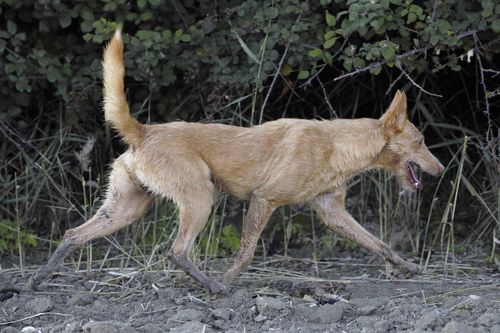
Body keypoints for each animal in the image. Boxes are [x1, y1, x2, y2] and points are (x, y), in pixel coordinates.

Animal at [29, 29, 444, 292]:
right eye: (421, 142)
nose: (442, 169)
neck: (337, 145)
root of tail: (144, 131)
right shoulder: (263, 201)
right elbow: (245, 254)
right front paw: (229, 280)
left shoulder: (332, 211)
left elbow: (379, 244)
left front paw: (408, 267)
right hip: (200, 199)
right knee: (177, 252)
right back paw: (215, 287)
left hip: (124, 209)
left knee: (72, 235)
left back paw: (38, 279)